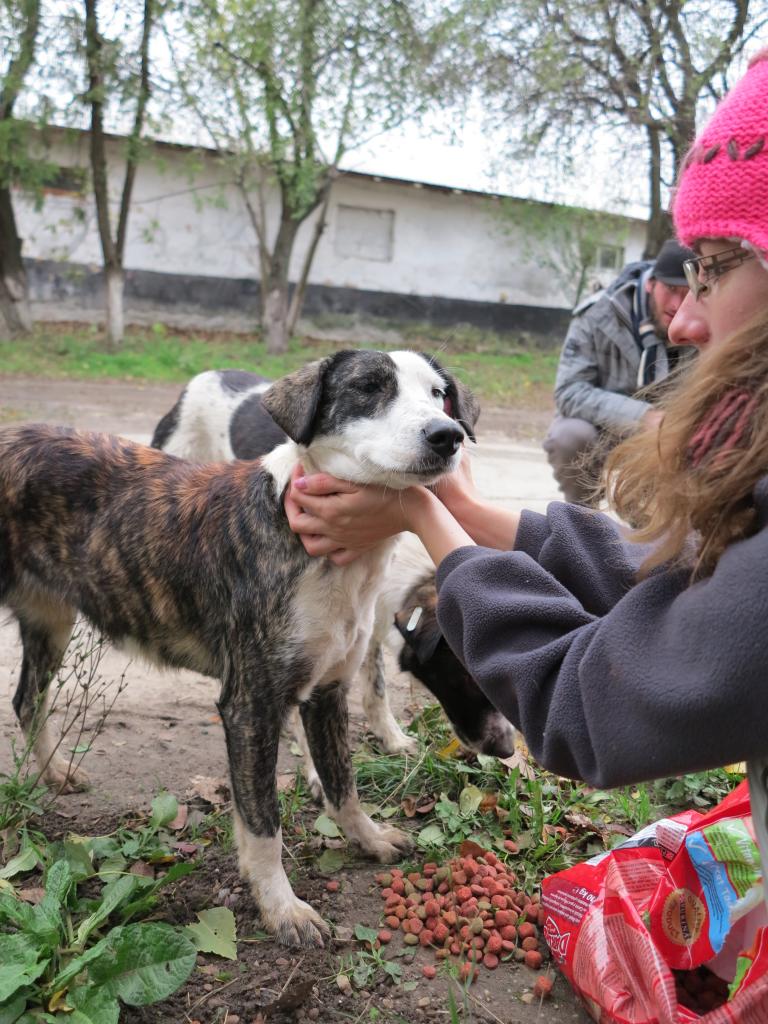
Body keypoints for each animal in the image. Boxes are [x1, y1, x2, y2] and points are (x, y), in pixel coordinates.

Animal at [0, 350, 481, 942]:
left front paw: (366, 839)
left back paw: (54, 772)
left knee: (27, 700)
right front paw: (281, 907)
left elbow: (343, 783)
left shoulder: (327, 691)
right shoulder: (250, 706)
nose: (447, 435)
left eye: (439, 394)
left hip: (50, 618)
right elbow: (262, 821)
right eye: (369, 388)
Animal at [151, 368, 518, 770]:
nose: (508, 750)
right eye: (467, 678)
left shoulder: (367, 621)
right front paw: (312, 767)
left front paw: (390, 737)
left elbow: (375, 687)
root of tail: (211, 374)